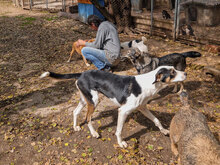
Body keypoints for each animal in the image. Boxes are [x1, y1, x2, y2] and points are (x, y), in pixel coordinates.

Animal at [40, 65, 186, 148]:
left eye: (175, 68)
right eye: (172, 72)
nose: (185, 73)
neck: (148, 84)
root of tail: (82, 73)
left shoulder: (143, 108)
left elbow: (156, 120)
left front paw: (164, 130)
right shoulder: (123, 111)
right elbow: (119, 131)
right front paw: (121, 143)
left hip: (86, 100)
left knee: (75, 112)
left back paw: (76, 126)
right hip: (94, 101)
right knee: (87, 118)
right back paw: (94, 133)